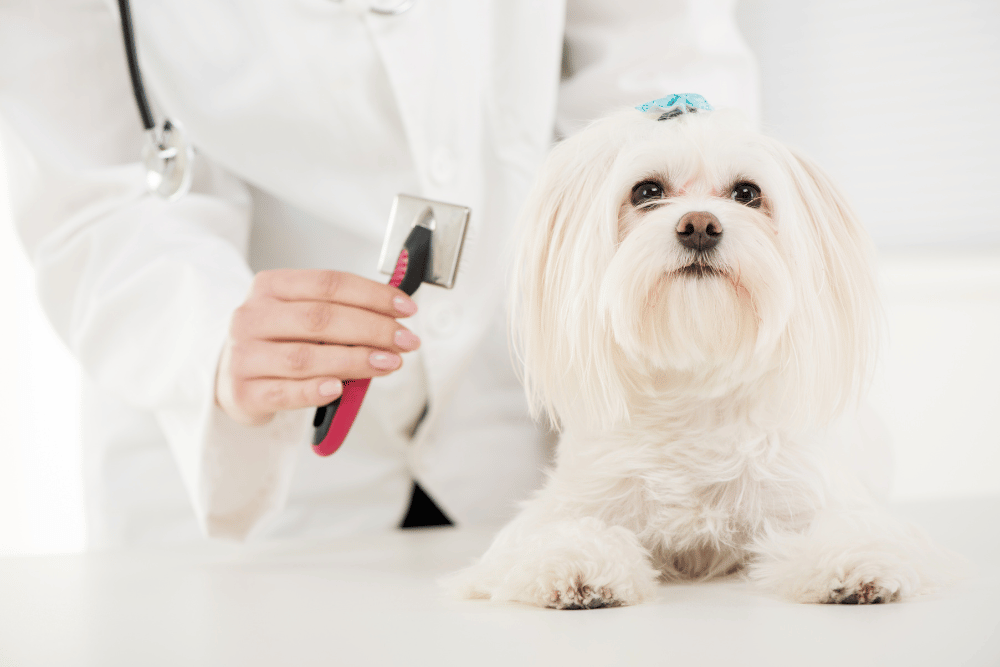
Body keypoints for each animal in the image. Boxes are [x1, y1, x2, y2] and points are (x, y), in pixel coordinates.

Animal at [448, 95, 952, 612]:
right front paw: (575, 565)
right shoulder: (573, 502)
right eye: (646, 191)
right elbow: (557, 535)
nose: (699, 226)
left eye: (747, 193)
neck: (694, 384)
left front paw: (857, 563)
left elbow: (850, 529)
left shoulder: (810, 495)